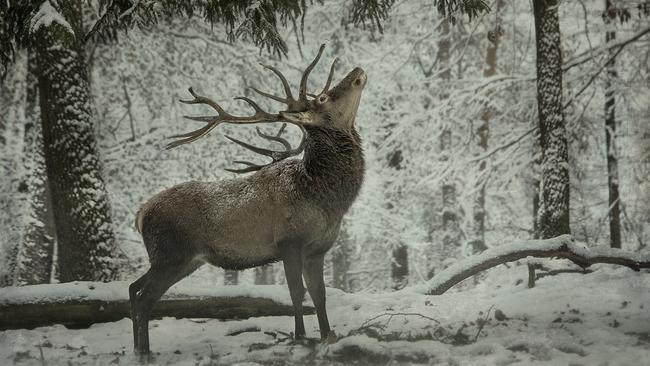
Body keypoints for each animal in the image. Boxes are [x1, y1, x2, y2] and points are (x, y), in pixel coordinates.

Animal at [130, 44, 364, 356]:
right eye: (323, 97)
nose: (357, 71)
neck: (326, 200)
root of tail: (141, 213)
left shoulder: (318, 249)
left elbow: (319, 294)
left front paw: (327, 335)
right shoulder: (289, 241)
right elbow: (296, 292)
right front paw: (300, 337)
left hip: (179, 260)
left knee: (133, 289)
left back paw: (137, 348)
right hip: (170, 253)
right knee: (144, 299)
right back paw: (144, 351)